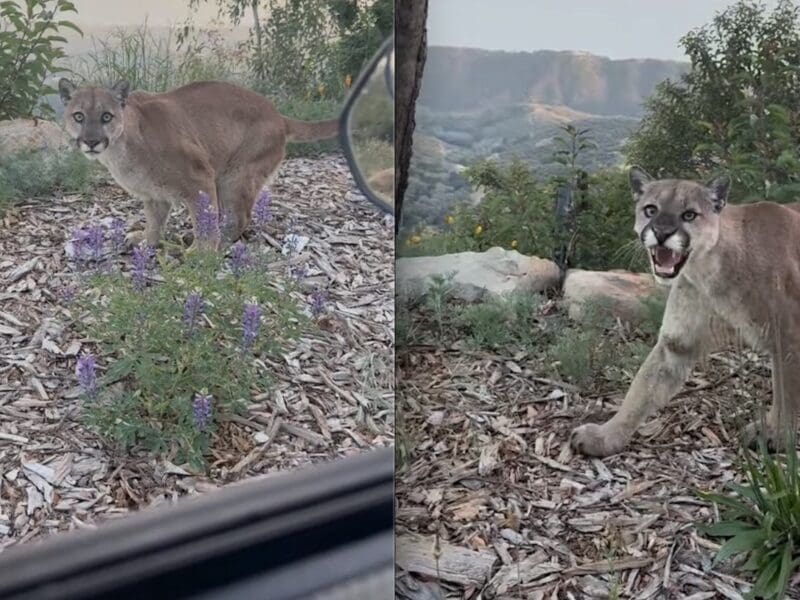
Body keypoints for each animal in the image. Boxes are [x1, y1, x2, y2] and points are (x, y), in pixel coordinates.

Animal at [58, 79, 339, 250]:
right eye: (79, 116)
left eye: (106, 116)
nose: (91, 141)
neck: (120, 150)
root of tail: (278, 115)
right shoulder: (154, 196)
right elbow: (154, 222)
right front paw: (147, 241)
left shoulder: (199, 178)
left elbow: (203, 218)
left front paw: (202, 252)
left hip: (236, 176)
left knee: (240, 217)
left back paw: (220, 243)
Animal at [570, 167, 800, 456]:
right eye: (651, 210)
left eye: (689, 214)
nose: (662, 232)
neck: (708, 270)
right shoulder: (677, 341)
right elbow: (641, 389)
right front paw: (604, 436)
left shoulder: (788, 337)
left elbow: (786, 394)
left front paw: (776, 436)